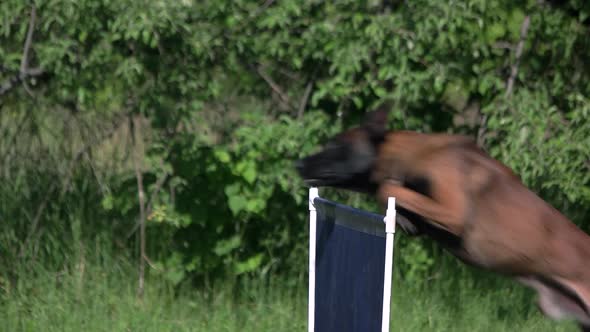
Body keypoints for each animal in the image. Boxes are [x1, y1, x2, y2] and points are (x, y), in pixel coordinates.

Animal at [298, 111, 590, 330]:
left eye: (336, 145)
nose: (299, 164)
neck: (409, 153)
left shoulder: (454, 212)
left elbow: (386, 188)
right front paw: (405, 218)